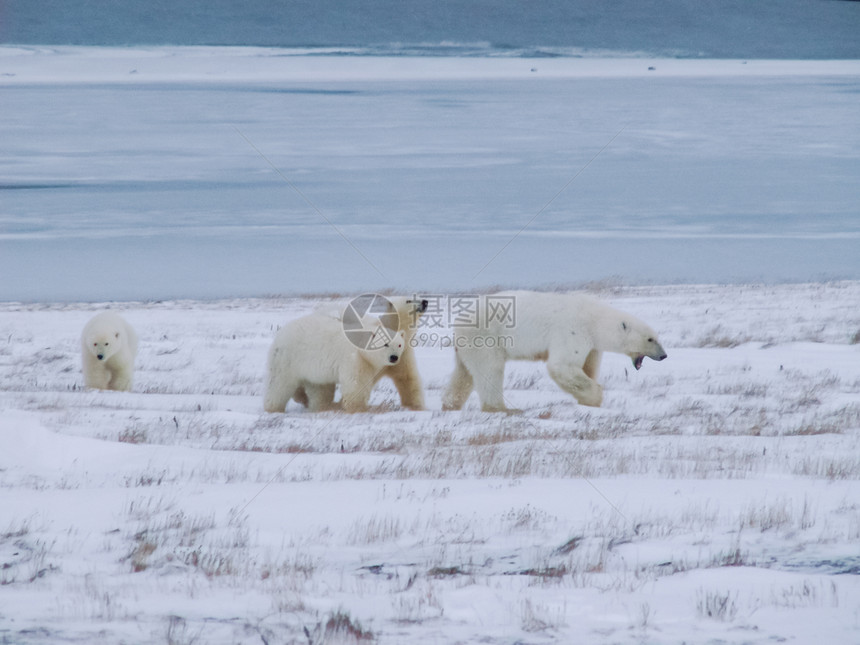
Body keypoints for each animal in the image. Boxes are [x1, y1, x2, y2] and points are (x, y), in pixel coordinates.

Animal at [440, 290, 668, 410]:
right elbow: (562, 366)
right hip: (486, 336)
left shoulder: (592, 346)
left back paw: (450, 404)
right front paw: (594, 398)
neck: (594, 320)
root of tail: (460, 320)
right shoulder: (573, 331)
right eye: (650, 339)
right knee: (490, 369)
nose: (664, 355)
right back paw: (502, 409)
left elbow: (587, 367)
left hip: (467, 345)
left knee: (464, 373)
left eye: (657, 337)